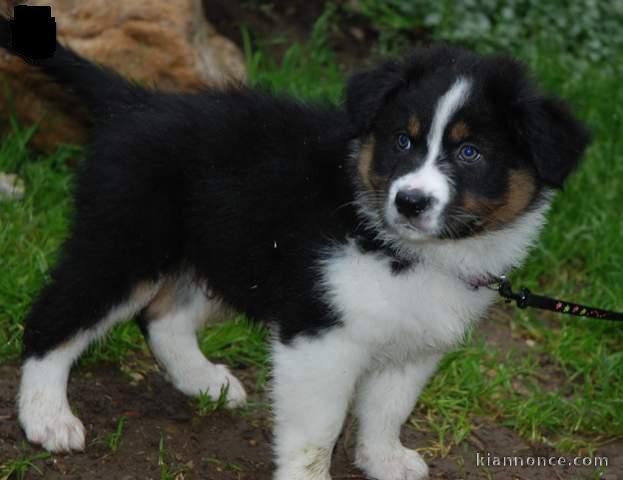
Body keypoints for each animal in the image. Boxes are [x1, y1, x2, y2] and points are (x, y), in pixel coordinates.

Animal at [2, 16, 588, 478]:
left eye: (470, 153)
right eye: (402, 141)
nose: (410, 202)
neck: (404, 250)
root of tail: (137, 102)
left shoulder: (416, 342)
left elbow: (389, 408)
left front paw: (383, 459)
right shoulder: (320, 335)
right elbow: (318, 430)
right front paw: (314, 473)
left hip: (217, 242)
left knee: (163, 317)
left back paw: (203, 381)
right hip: (127, 239)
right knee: (55, 319)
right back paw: (47, 417)